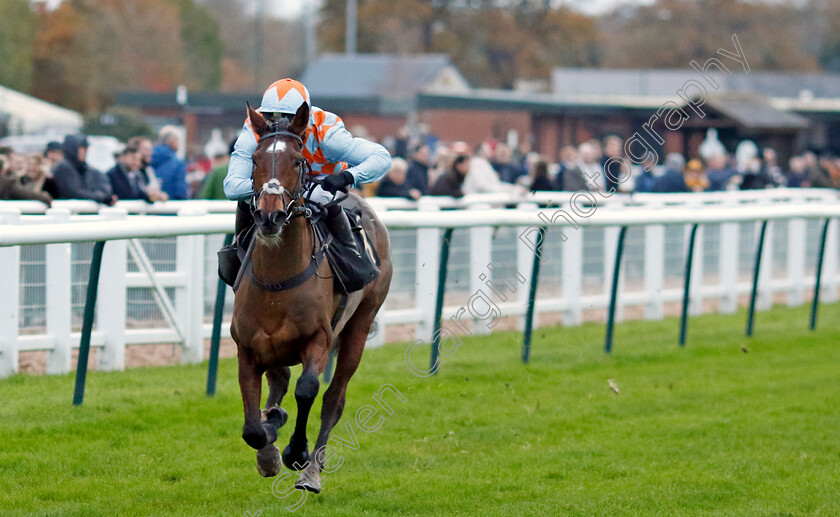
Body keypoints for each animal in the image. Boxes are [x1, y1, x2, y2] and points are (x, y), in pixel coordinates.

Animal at [231, 102, 392, 492]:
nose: (270, 215)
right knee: (279, 380)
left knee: (334, 397)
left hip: (360, 323)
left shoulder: (319, 338)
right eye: (255, 159)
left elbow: (307, 390)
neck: (276, 283)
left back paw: (312, 471)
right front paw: (269, 444)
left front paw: (296, 452)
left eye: (297, 161)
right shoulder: (247, 348)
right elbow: (253, 428)